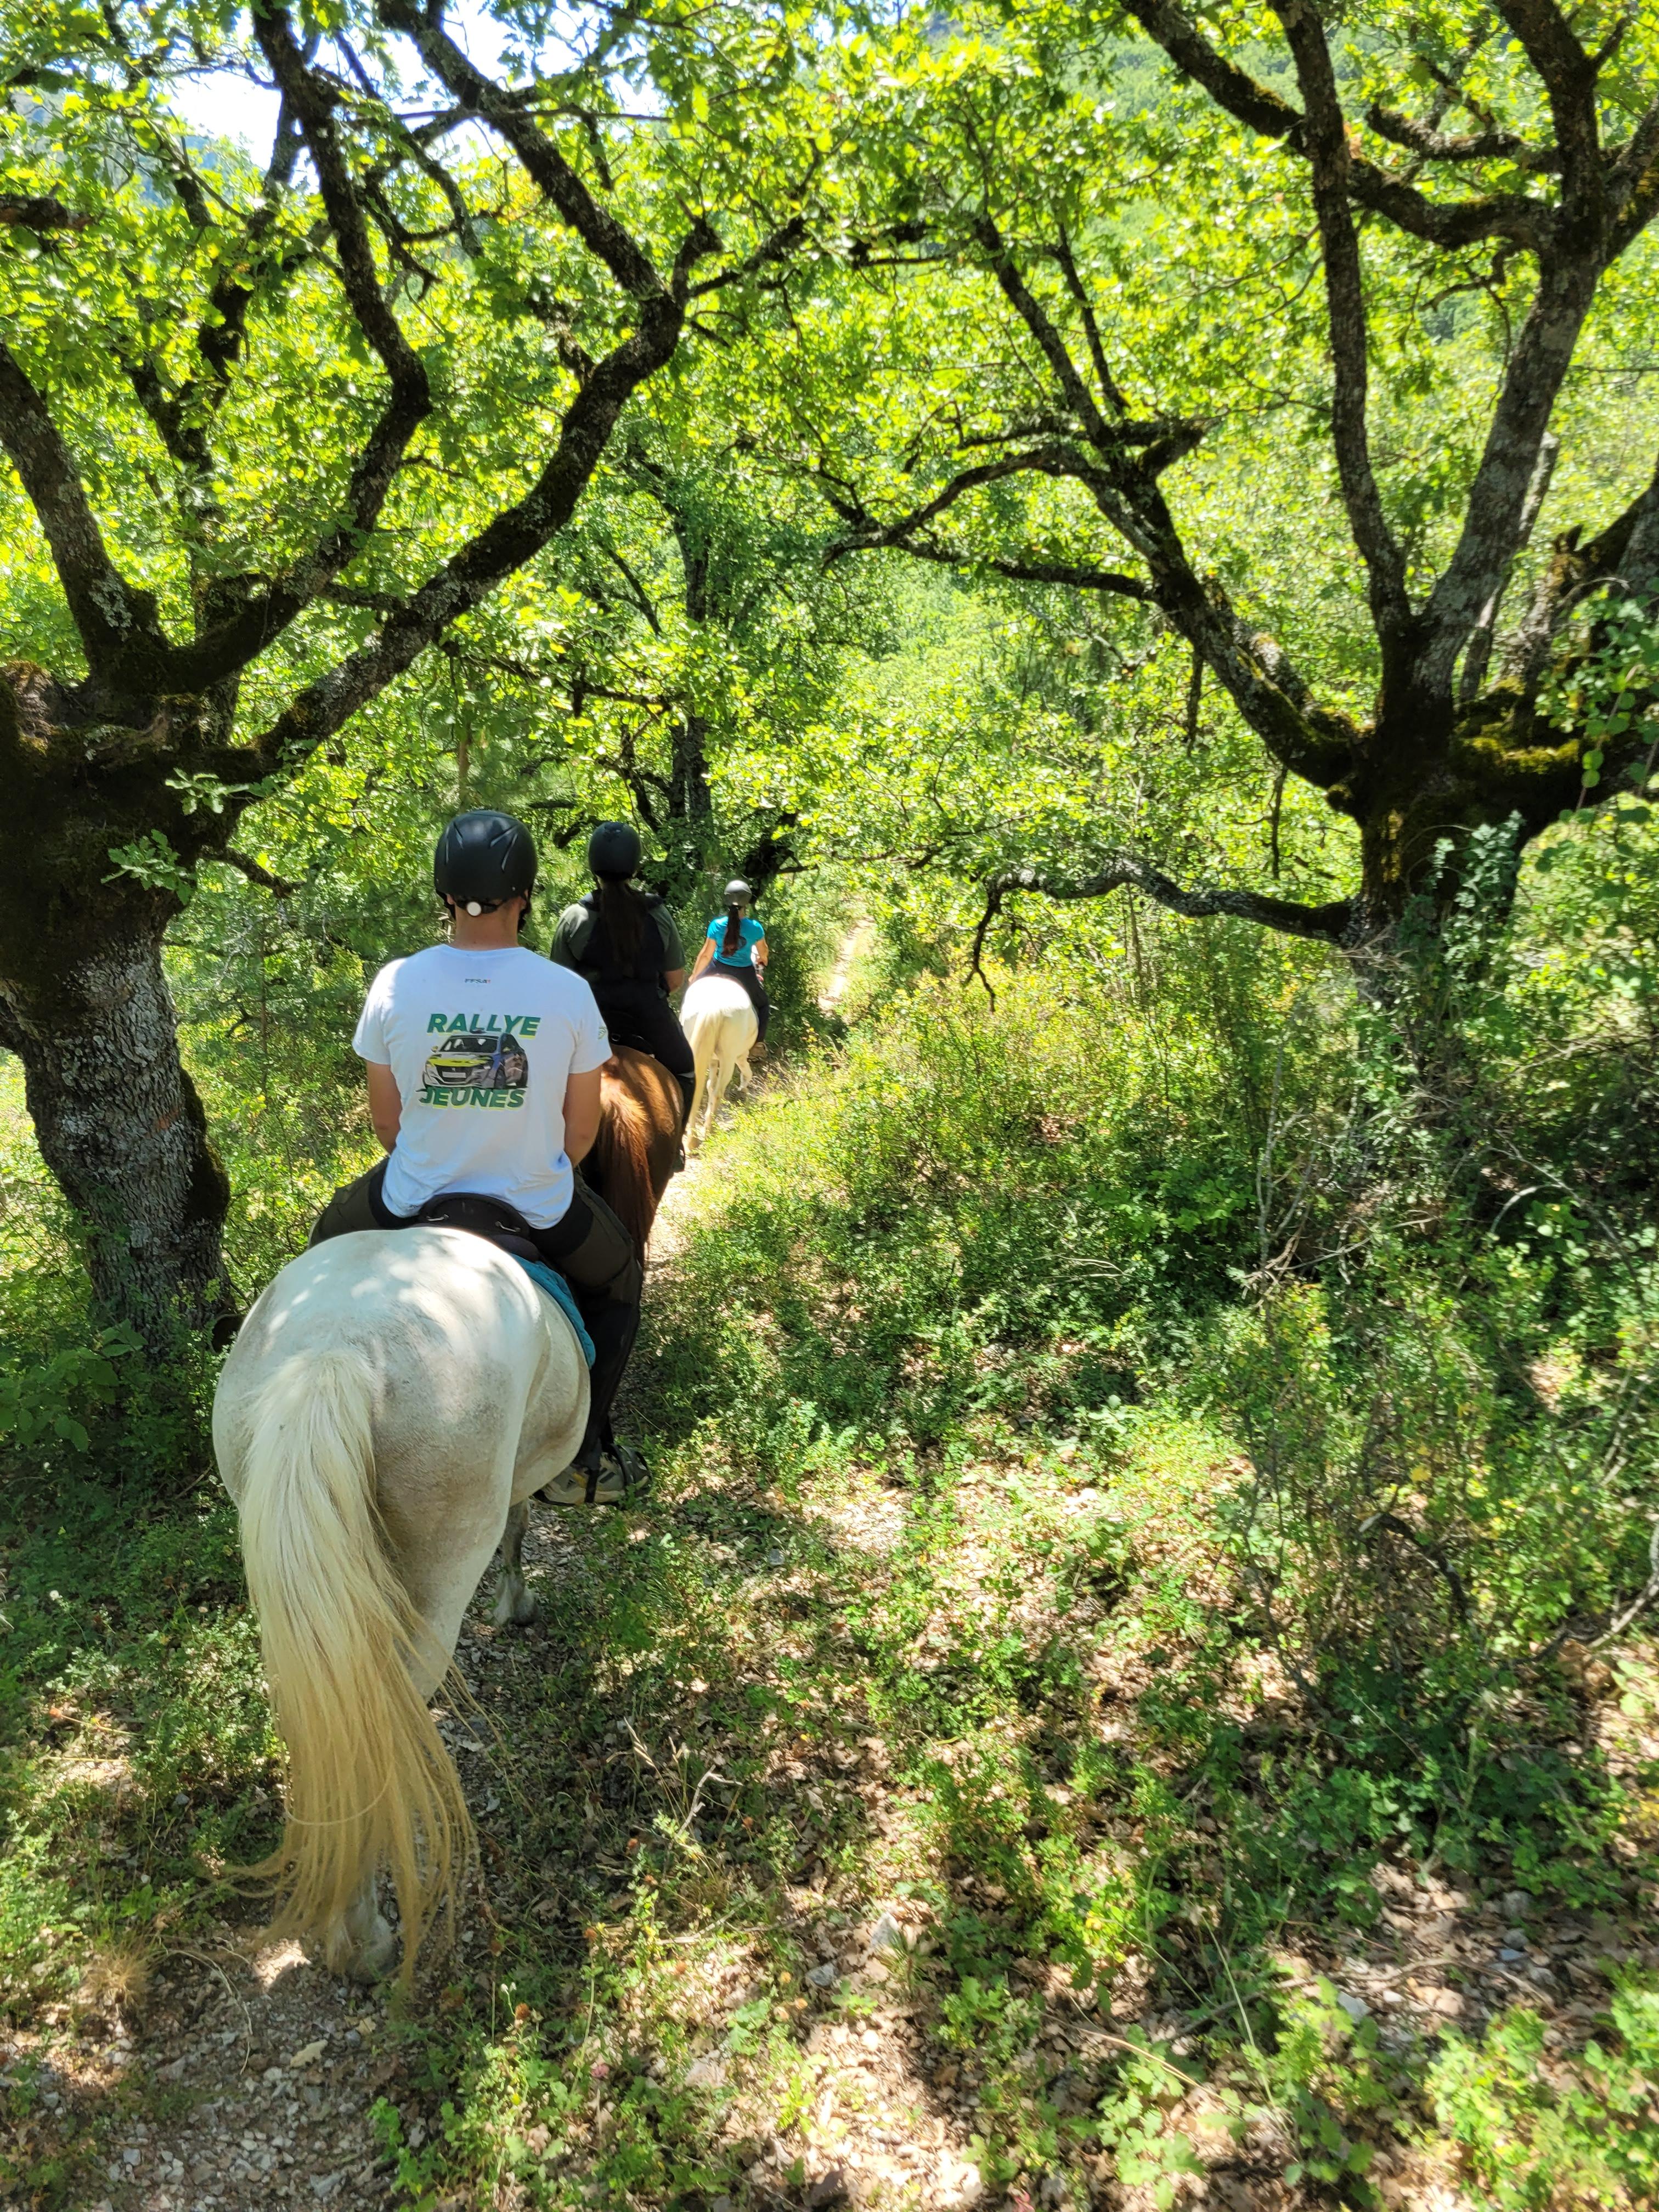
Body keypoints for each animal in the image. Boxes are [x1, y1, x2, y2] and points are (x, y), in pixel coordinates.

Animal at [680, 972, 759, 1155]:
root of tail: (713, 1006)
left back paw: (693, 1140)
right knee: (719, 1092)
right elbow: (747, 1072)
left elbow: (709, 1085)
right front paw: (743, 1091)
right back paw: (710, 1131)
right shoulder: (740, 1056)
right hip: (729, 1059)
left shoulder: (712, 1060)